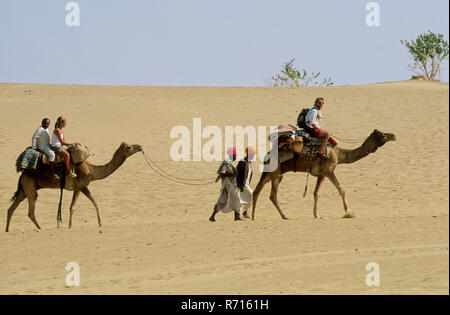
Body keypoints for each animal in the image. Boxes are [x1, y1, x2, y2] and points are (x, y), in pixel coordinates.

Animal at [5, 143, 142, 232]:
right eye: (129, 147)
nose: (140, 146)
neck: (92, 170)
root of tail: (22, 173)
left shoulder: (83, 187)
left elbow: (94, 202)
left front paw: (100, 223)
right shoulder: (80, 186)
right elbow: (74, 207)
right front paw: (70, 226)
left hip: (25, 188)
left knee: (11, 208)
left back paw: (7, 230)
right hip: (30, 186)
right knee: (30, 211)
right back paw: (40, 228)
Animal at [251, 130, 396, 221]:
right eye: (382, 134)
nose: (393, 135)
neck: (340, 154)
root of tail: (267, 155)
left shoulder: (321, 175)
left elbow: (316, 193)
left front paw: (317, 215)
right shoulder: (329, 171)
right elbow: (342, 189)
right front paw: (349, 212)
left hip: (275, 175)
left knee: (265, 193)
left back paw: (260, 215)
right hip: (273, 172)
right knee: (264, 193)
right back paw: (258, 216)